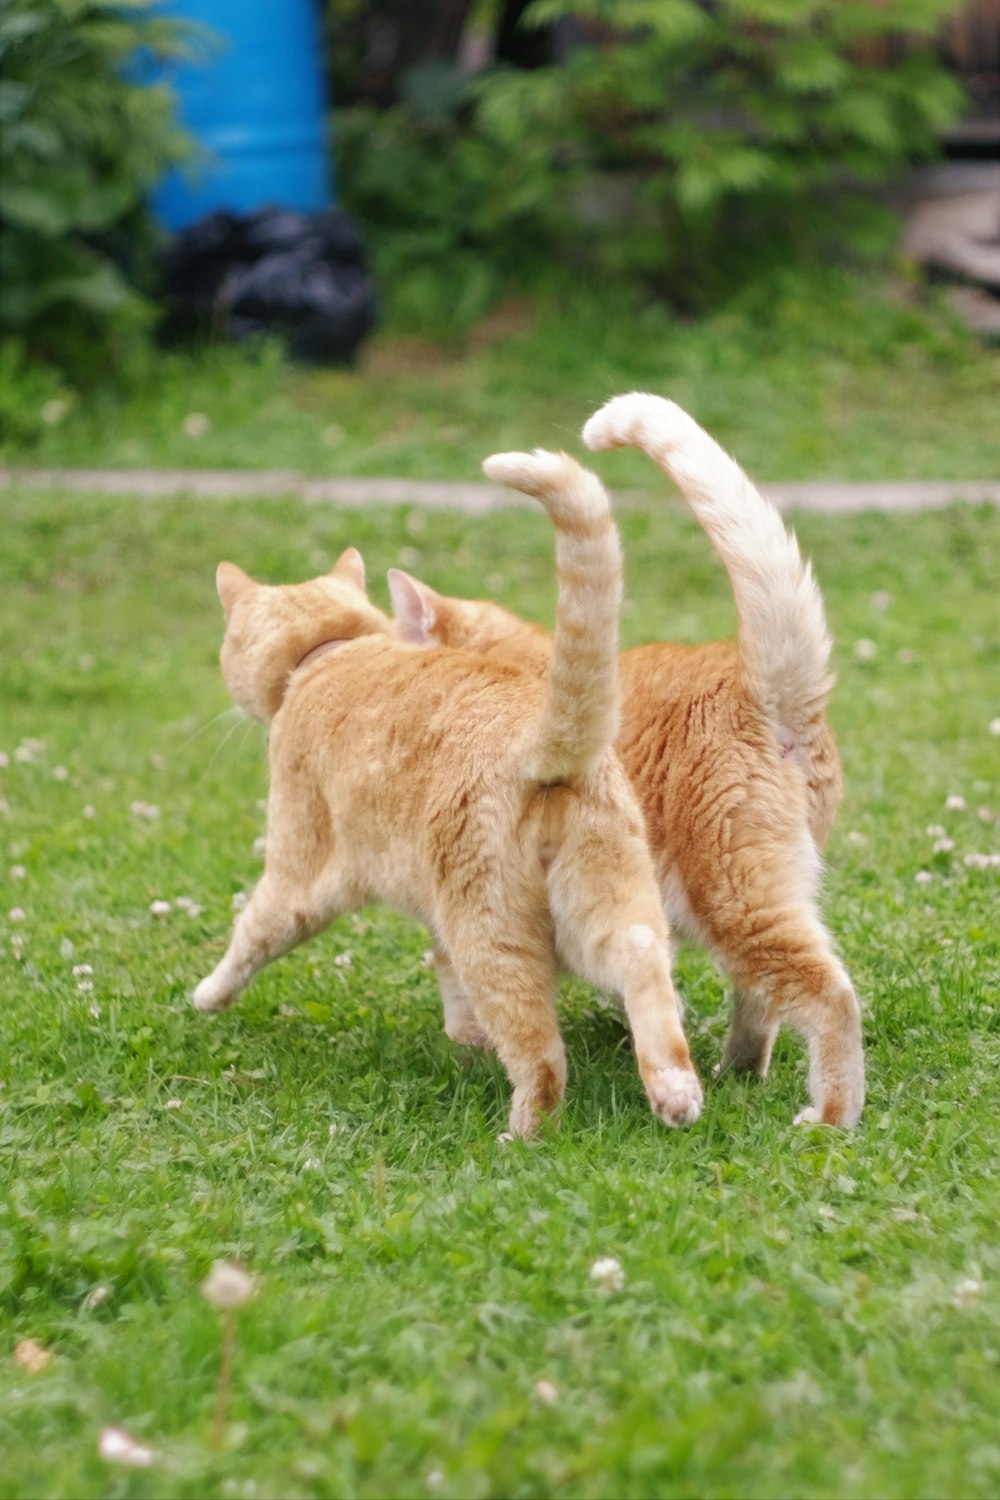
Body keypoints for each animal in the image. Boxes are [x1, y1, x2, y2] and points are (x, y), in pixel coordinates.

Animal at [194, 444, 704, 1134]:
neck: (332, 653)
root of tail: (538, 741)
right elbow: (446, 982)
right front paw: (466, 1044)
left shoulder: (298, 870)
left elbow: (253, 933)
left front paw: (206, 996)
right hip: (603, 904)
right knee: (644, 961)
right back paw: (675, 1092)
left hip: (491, 934)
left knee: (543, 1056)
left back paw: (523, 1134)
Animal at [389, 396, 869, 1128]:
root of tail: (760, 685)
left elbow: (464, 990)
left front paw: (471, 1051)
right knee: (761, 999)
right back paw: (736, 1073)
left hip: (735, 895)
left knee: (828, 993)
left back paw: (831, 1118)